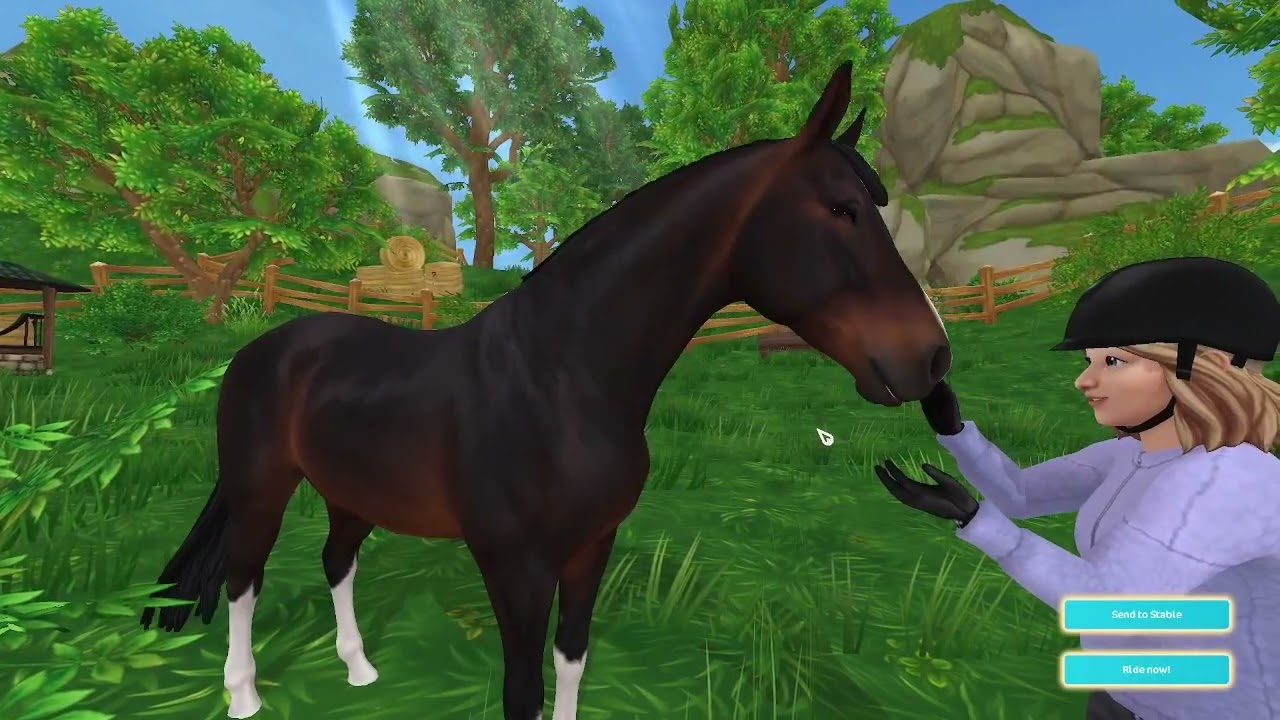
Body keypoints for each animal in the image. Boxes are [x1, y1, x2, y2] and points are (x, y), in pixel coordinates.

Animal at [139, 61, 951, 720]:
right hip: (261, 486)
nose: (933, 358)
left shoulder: (592, 547)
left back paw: (361, 671)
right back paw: (243, 696)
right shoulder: (515, 564)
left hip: (351, 490)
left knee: (337, 563)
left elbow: (572, 661)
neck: (559, 380)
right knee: (244, 579)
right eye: (842, 209)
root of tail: (266, 347)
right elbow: (522, 689)